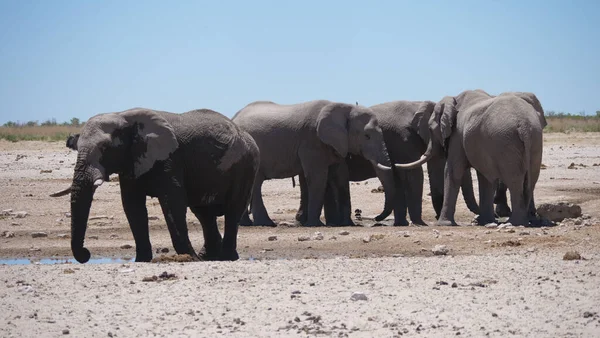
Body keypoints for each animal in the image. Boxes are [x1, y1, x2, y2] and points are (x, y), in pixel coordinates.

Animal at [50, 107, 258, 262]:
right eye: (76, 148)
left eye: (104, 148)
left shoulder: (169, 158)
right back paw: (209, 257)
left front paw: (188, 258)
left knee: (233, 210)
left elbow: (173, 202)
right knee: (203, 213)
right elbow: (132, 206)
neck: (123, 116)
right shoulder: (131, 161)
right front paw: (142, 260)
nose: (86, 254)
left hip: (246, 166)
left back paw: (226, 257)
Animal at [232, 100, 396, 227]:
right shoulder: (312, 141)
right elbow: (318, 178)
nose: (376, 218)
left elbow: (340, 176)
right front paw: (315, 224)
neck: (343, 107)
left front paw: (346, 224)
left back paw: (246, 223)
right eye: (367, 136)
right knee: (256, 184)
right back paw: (265, 223)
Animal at [396, 91, 548, 226]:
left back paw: (514, 222)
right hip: (534, 140)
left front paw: (444, 224)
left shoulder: (457, 135)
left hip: (506, 142)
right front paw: (486, 221)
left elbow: (453, 171)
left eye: (430, 128)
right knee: (530, 181)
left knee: (514, 181)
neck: (453, 99)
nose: (395, 164)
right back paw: (521, 221)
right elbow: (485, 178)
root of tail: (524, 126)